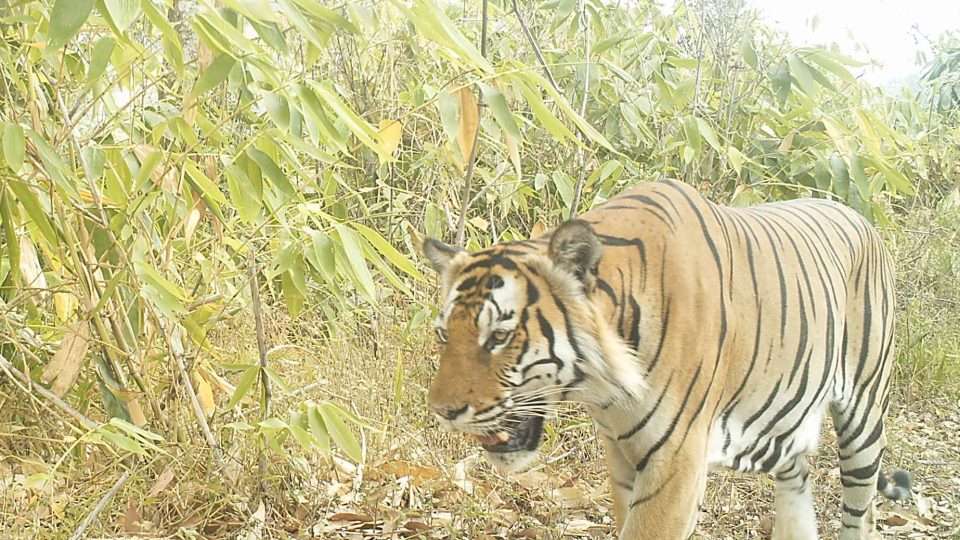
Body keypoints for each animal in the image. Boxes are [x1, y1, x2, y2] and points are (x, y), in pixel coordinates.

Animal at [420, 179, 911, 539]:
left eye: (499, 336)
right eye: (444, 334)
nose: (441, 412)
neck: (606, 390)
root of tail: (859, 216)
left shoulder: (677, 461)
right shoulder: (622, 456)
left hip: (864, 416)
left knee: (862, 512)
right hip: (782, 423)